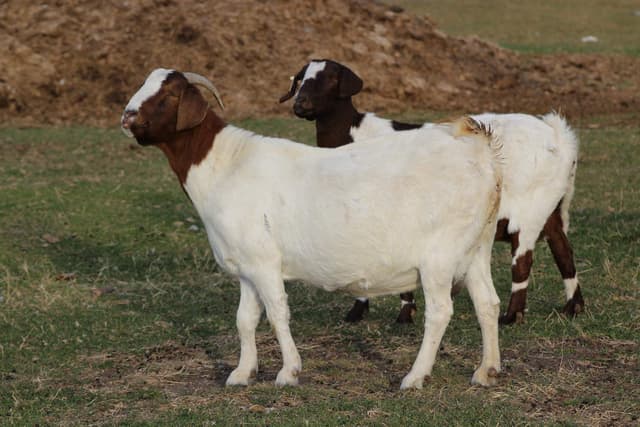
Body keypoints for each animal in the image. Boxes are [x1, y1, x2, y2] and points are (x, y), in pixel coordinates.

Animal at [121, 68, 504, 389]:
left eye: (169, 95)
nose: (126, 117)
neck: (225, 164)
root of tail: (476, 145)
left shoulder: (264, 263)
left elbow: (277, 314)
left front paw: (288, 372)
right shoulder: (246, 267)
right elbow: (245, 319)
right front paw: (242, 373)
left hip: (439, 256)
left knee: (439, 312)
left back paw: (414, 377)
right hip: (476, 248)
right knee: (488, 303)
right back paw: (486, 371)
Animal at [280, 59, 583, 325]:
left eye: (331, 78)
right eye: (301, 78)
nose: (300, 104)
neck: (353, 135)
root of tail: (557, 136)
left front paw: (400, 315)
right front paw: (364, 312)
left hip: (527, 211)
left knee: (523, 260)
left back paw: (511, 317)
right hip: (549, 205)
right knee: (562, 249)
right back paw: (573, 307)